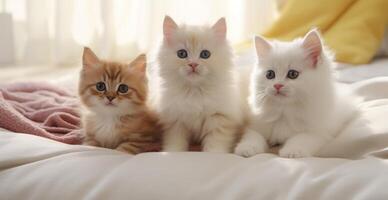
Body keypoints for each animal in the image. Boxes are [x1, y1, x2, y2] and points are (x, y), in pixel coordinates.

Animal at [155, 16, 242, 152]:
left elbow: (215, 144)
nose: (193, 64)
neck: (194, 91)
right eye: (182, 54)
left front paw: (213, 153)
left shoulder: (219, 119)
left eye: (205, 54)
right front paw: (172, 152)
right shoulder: (175, 122)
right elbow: (175, 143)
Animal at [233, 29, 358, 158]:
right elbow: (253, 137)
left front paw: (292, 151)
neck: (284, 111)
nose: (277, 85)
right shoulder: (256, 126)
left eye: (293, 74)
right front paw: (246, 148)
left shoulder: (318, 132)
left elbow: (300, 139)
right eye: (270, 74)